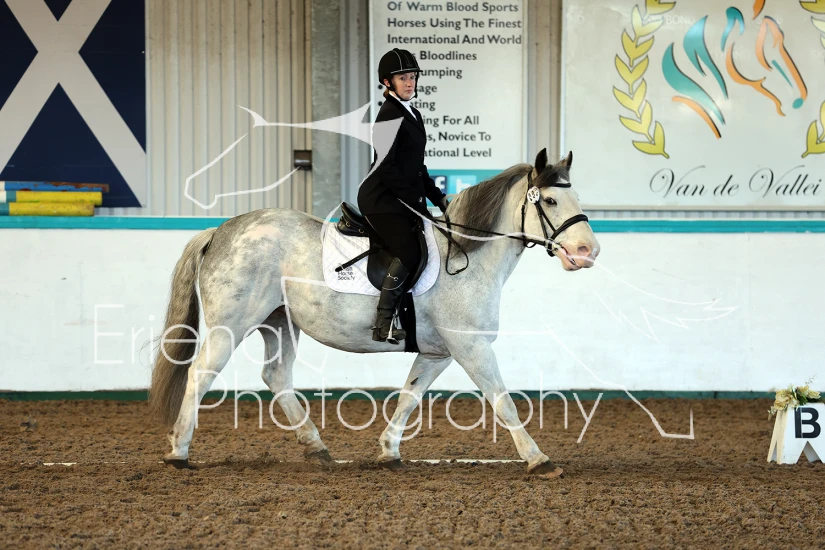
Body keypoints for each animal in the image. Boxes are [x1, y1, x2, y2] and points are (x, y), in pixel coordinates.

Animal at [148, 147, 600, 479]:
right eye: (551, 200)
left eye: (577, 198)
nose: (588, 252)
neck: (467, 255)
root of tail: (221, 230)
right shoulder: (471, 349)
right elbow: (503, 401)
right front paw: (539, 459)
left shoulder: (438, 353)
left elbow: (409, 396)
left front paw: (388, 452)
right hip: (232, 323)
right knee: (200, 374)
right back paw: (179, 451)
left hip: (280, 322)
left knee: (276, 376)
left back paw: (317, 448)